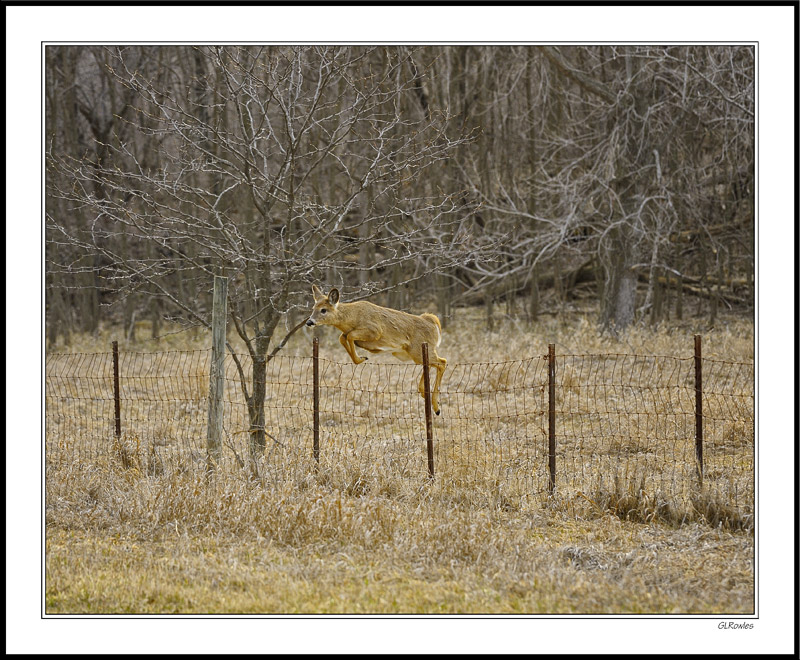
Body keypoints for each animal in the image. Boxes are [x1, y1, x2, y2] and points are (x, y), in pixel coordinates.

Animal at [306, 284, 446, 418]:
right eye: (313, 308)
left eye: (323, 310)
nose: (309, 322)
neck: (352, 317)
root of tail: (433, 323)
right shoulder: (351, 334)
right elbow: (342, 337)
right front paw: (361, 358)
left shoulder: (375, 330)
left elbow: (350, 336)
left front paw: (361, 358)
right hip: (414, 352)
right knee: (431, 364)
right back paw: (425, 394)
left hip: (418, 350)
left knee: (442, 362)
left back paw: (437, 407)